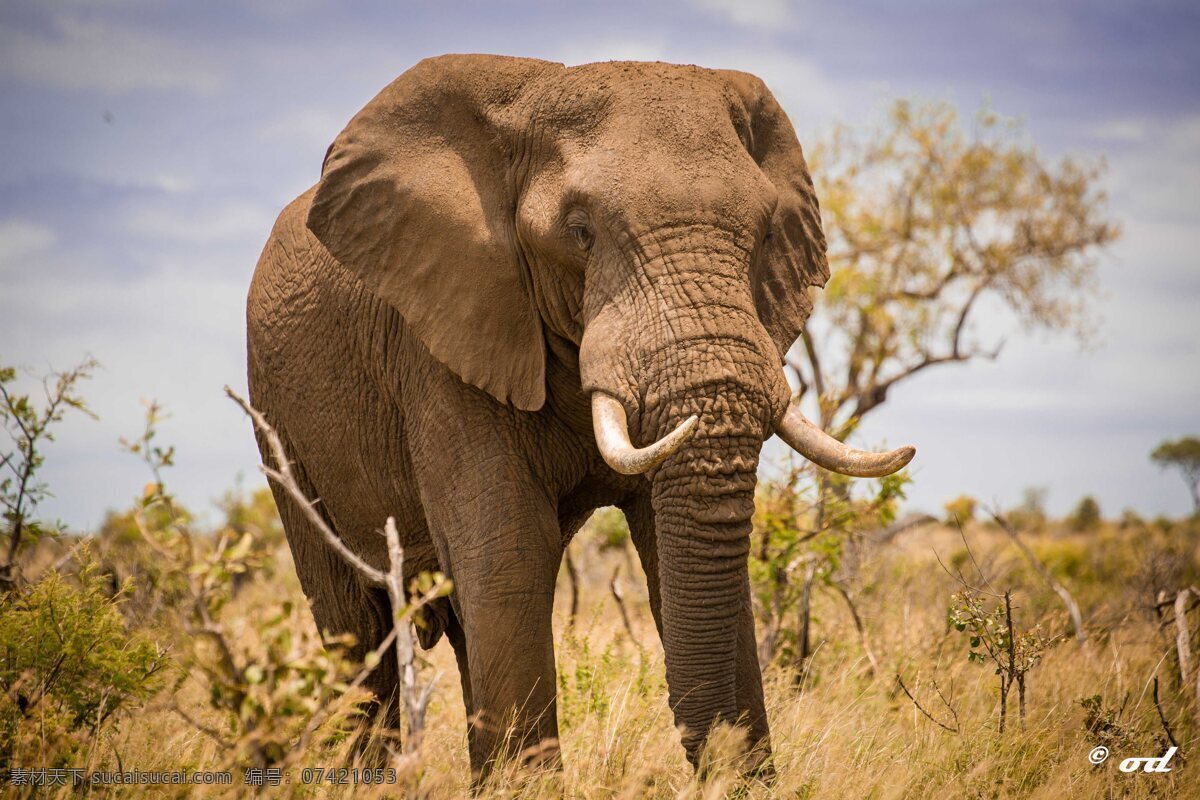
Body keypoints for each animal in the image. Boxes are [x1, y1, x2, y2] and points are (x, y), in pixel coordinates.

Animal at [245, 53, 913, 779]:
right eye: (579, 231)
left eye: (766, 232)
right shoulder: (443, 341)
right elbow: (510, 552)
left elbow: (672, 553)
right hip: (277, 420)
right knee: (356, 631)